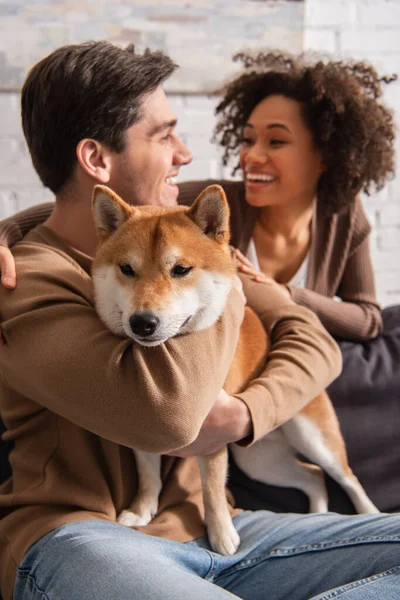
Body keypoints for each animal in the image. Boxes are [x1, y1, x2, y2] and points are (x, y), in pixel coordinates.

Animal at [90, 184, 378, 556]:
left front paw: (221, 535)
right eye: (127, 268)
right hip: (259, 460)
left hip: (311, 437)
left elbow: (212, 489)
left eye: (181, 269)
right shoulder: (141, 432)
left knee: (345, 477)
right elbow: (148, 475)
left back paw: (369, 513)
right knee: (314, 477)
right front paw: (141, 510)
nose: (143, 322)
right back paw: (317, 514)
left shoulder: (214, 435)